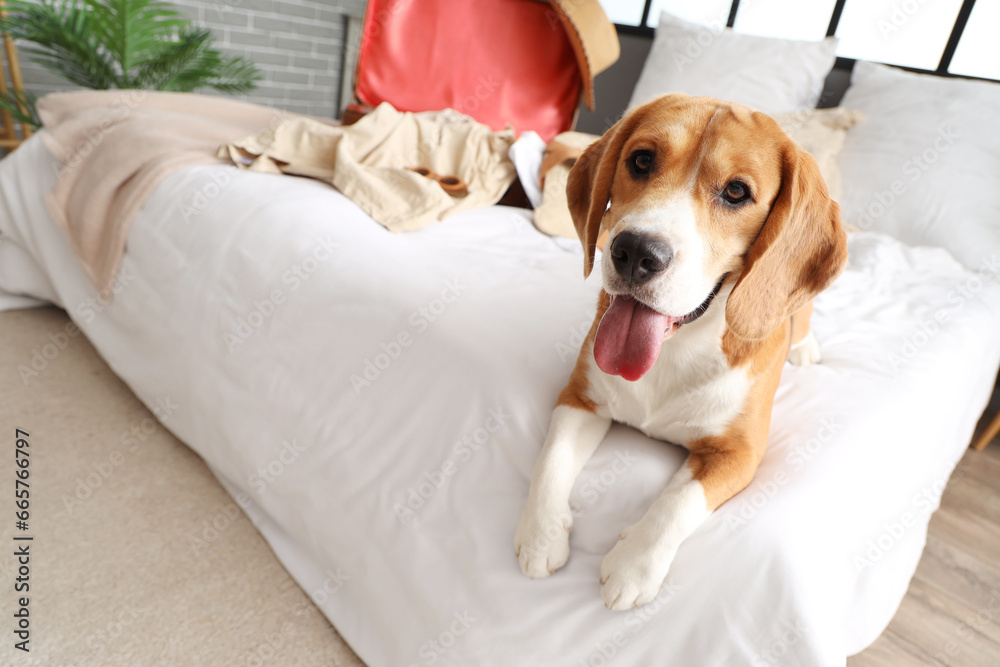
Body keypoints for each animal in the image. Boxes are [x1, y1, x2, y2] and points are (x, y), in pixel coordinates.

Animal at [516, 92, 852, 612]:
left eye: (736, 192)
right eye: (641, 160)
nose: (635, 252)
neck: (675, 350)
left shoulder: (740, 452)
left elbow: (679, 501)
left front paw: (633, 566)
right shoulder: (579, 399)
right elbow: (551, 461)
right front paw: (541, 535)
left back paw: (807, 347)